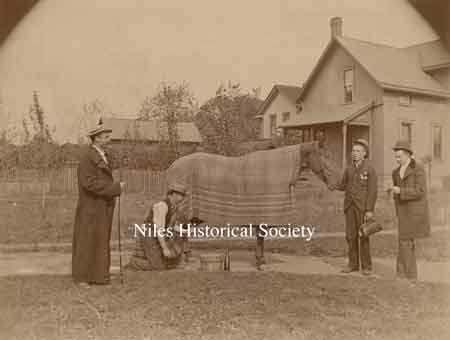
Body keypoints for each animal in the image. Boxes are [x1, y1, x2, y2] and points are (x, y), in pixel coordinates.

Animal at [166, 138, 342, 268]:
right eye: (325, 156)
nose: (338, 183)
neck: (278, 168)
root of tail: (173, 165)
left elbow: (260, 237)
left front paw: (261, 259)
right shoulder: (263, 214)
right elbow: (260, 237)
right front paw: (260, 262)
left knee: (183, 230)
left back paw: (187, 255)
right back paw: (184, 257)